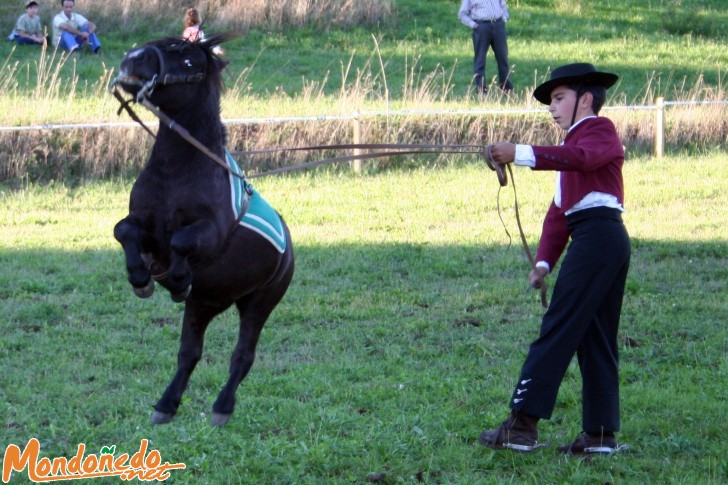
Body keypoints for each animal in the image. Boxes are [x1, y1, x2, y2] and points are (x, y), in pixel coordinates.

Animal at [111, 34, 292, 426]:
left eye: (190, 61)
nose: (133, 57)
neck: (177, 172)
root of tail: (289, 249)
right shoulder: (143, 224)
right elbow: (124, 231)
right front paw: (141, 279)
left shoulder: (209, 231)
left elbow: (183, 240)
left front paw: (177, 279)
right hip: (203, 305)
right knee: (189, 354)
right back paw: (165, 405)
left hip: (260, 302)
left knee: (243, 356)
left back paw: (222, 408)